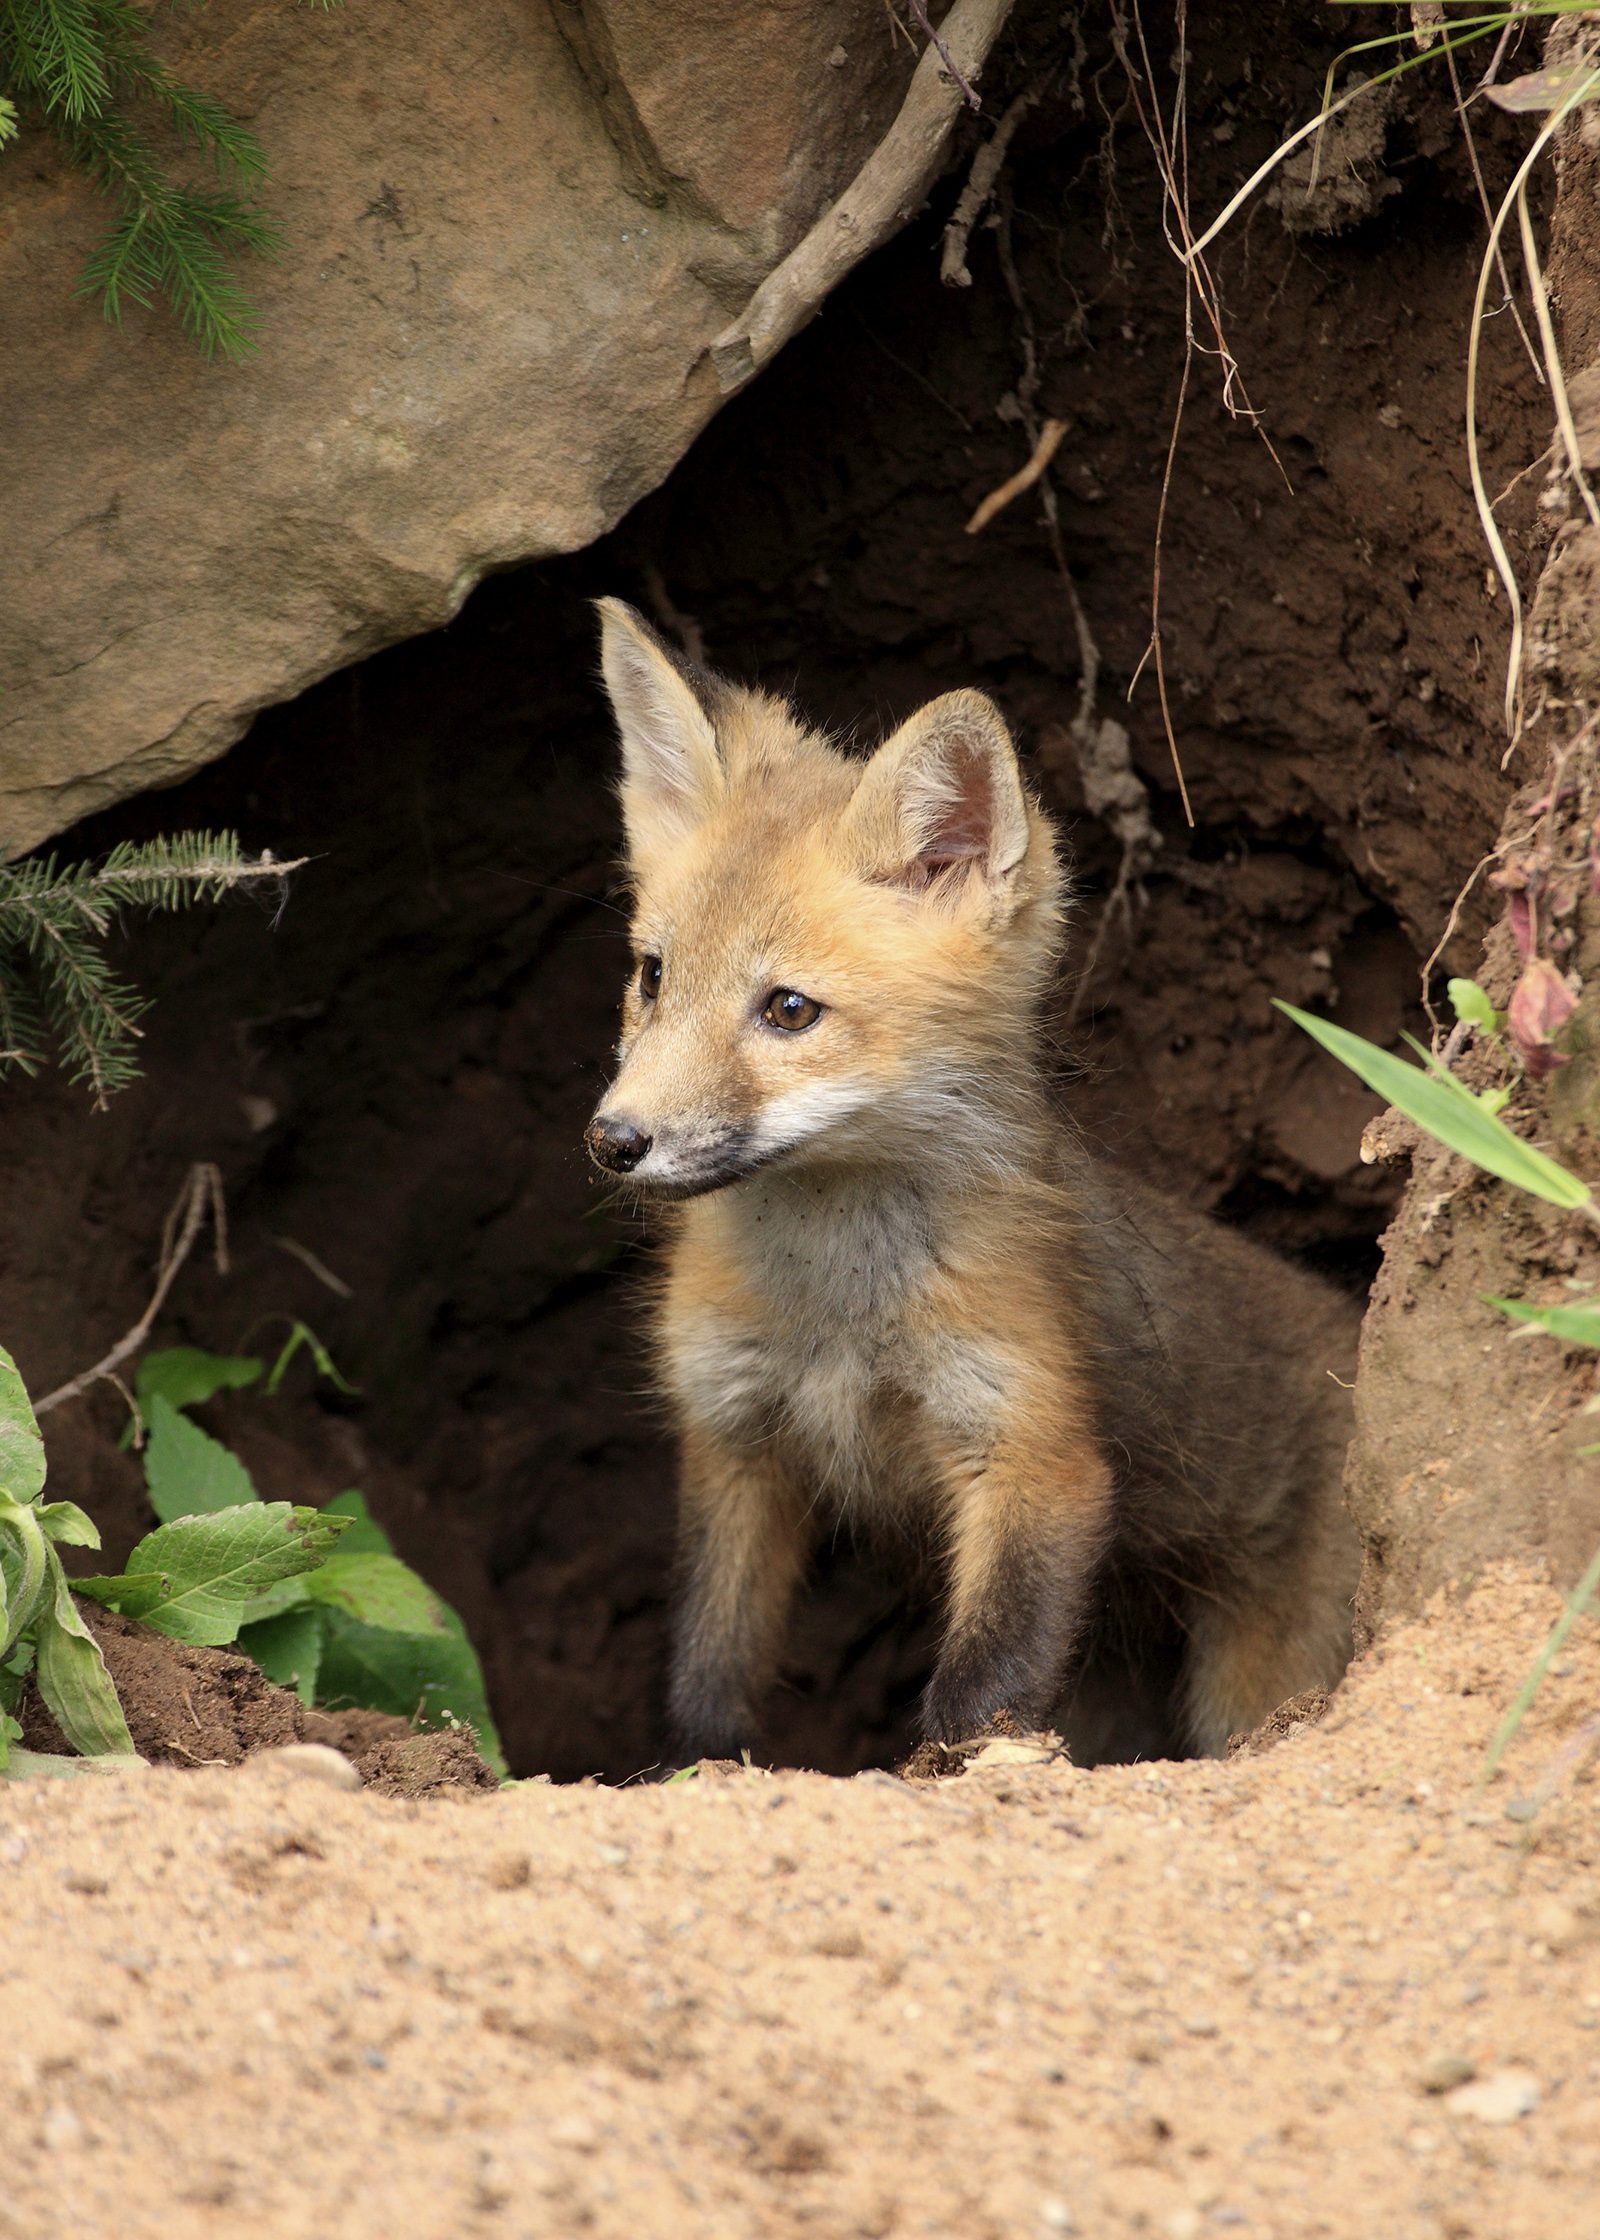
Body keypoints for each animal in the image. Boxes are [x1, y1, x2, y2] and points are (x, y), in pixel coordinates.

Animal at [583, 597, 1361, 1766]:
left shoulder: (1031, 1447)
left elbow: (978, 1693)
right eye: (652, 976)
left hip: (1252, 1675)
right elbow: (707, 1677)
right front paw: (691, 1770)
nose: (614, 1138)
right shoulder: (734, 1437)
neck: (837, 1314)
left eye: (789, 1010)